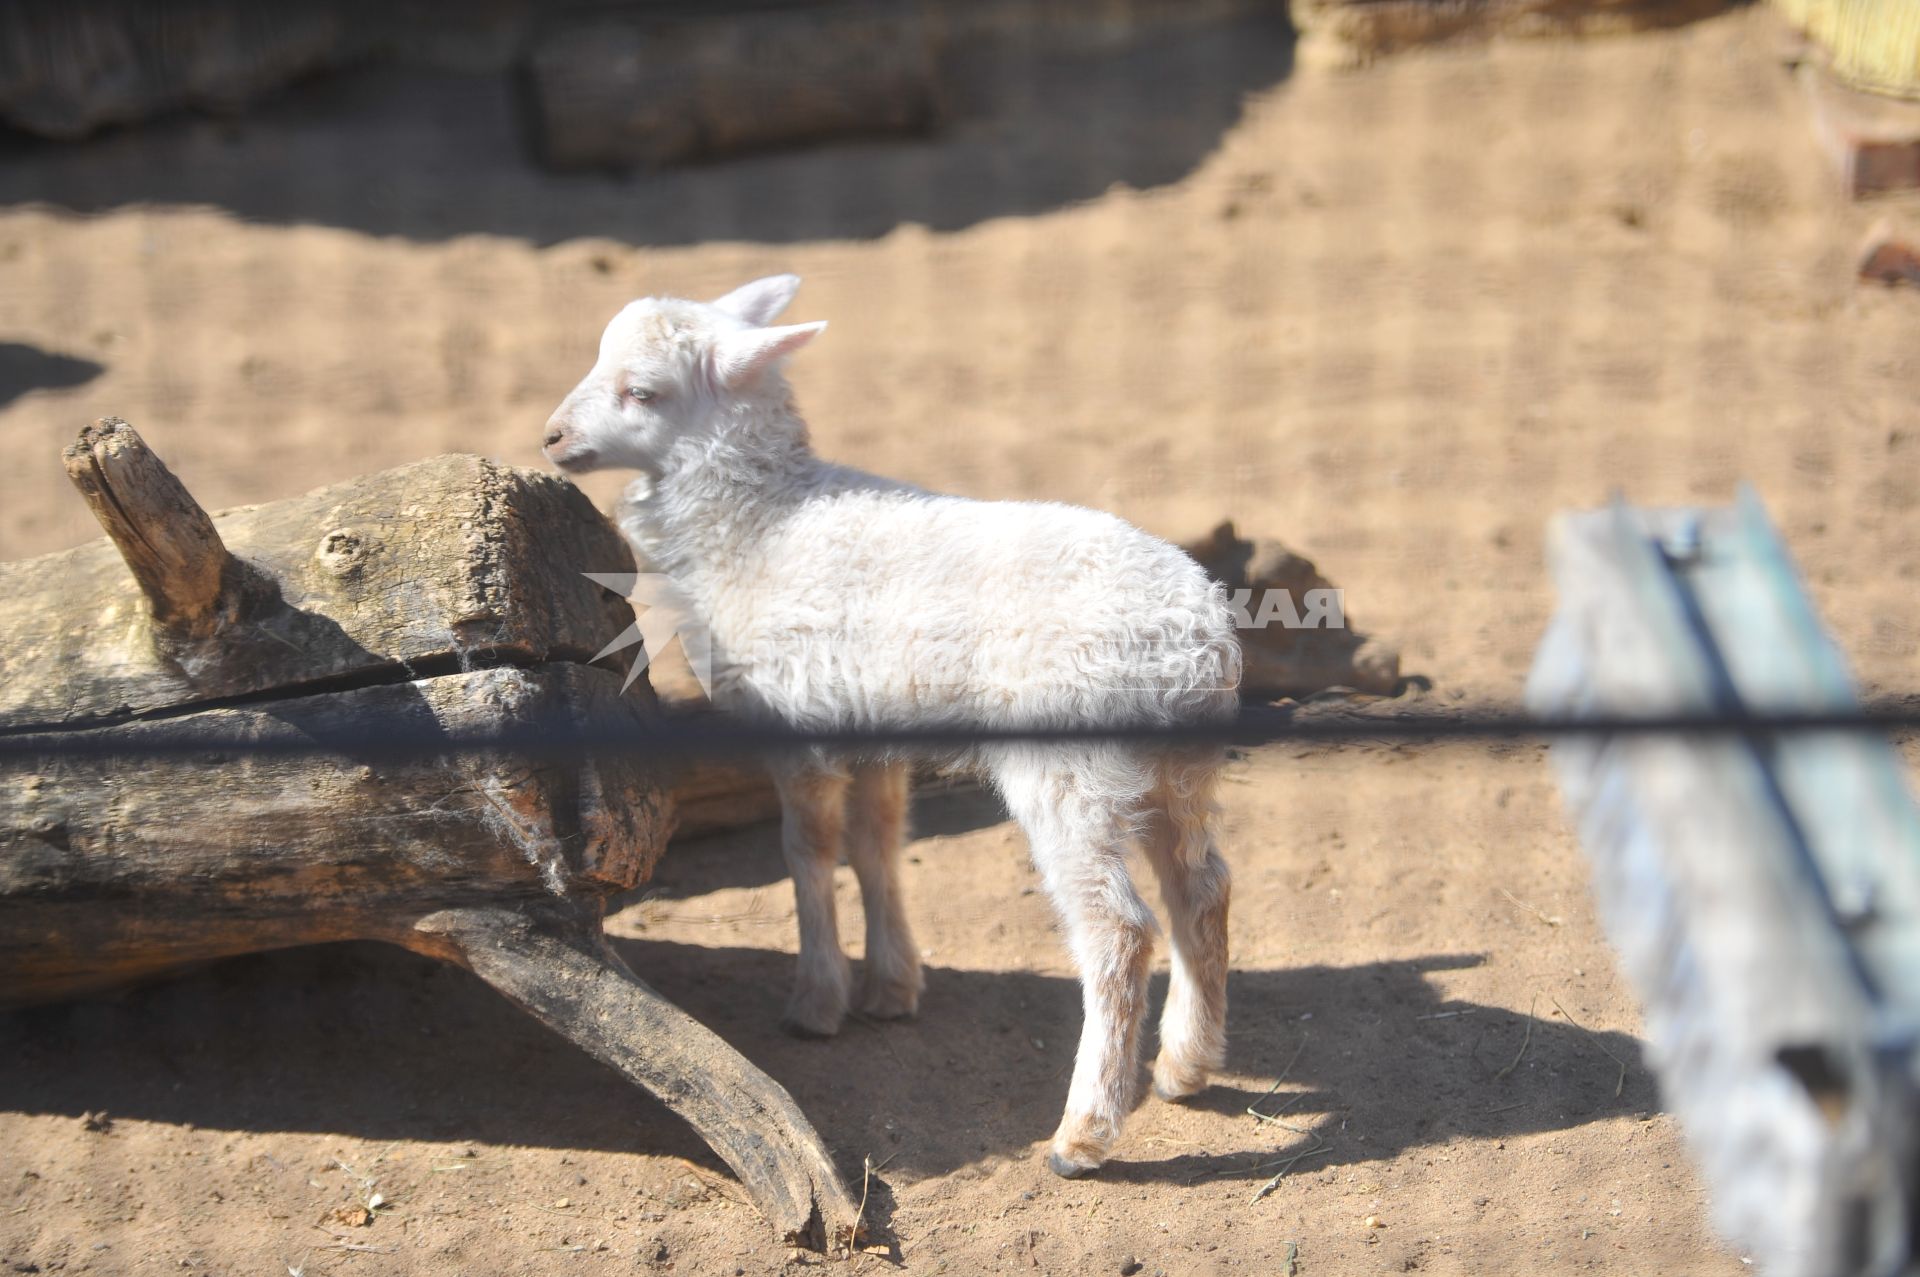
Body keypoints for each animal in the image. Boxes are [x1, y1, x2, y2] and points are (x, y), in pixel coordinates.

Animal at [537, 270, 1244, 1175]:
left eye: (642, 391)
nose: (552, 438)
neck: (762, 525)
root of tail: (1199, 636)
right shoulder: (871, 725)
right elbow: (876, 846)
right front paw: (890, 987)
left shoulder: (797, 722)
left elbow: (807, 852)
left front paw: (816, 1000)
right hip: (1174, 771)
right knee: (1203, 891)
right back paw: (1187, 1065)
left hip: (1070, 770)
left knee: (1119, 932)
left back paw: (1083, 1131)